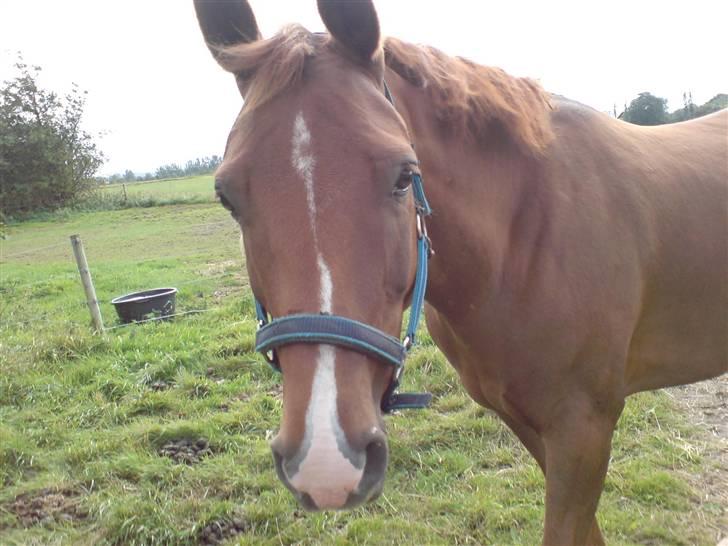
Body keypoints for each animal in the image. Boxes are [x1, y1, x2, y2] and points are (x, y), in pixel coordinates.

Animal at [193, 2, 728, 540]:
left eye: (404, 176)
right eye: (227, 197)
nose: (326, 460)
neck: (521, 242)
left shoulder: (584, 426)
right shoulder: (529, 422)